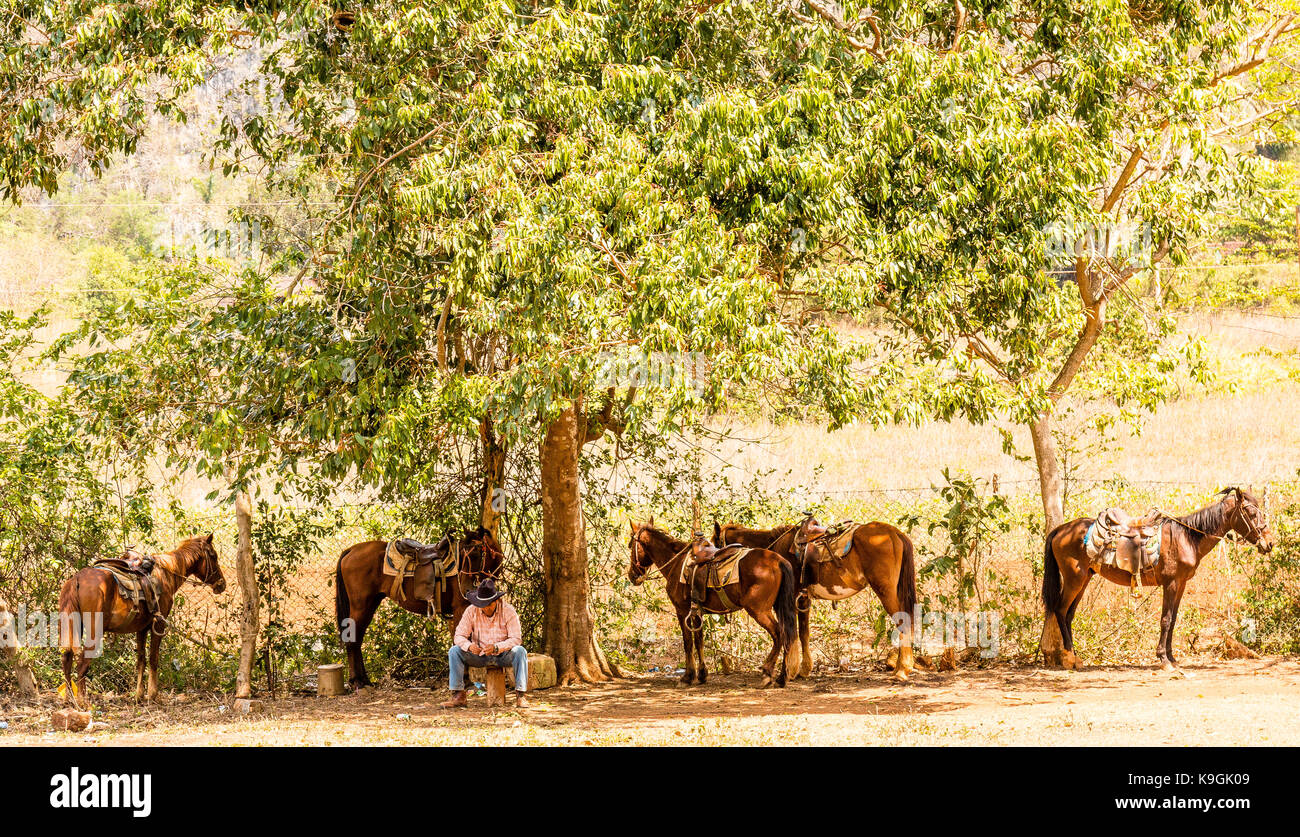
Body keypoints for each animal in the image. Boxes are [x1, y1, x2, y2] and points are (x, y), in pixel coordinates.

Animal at [58, 535, 227, 707]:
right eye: (213, 555)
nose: (222, 584)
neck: (166, 574)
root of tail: (77, 579)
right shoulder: (158, 624)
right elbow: (153, 658)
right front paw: (152, 695)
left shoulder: (141, 629)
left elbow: (141, 660)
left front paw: (139, 696)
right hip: (94, 631)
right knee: (81, 664)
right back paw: (83, 702)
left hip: (73, 627)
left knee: (67, 659)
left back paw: (69, 699)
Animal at [335, 527, 501, 691]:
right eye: (462, 554)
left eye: (477, 553)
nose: (465, 588)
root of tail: (351, 549)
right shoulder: (460, 609)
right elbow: (462, 641)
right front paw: (464, 679)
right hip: (360, 606)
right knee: (353, 639)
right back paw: (357, 681)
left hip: (370, 604)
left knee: (358, 638)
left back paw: (365, 680)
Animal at [624, 519, 795, 691]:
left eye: (631, 545)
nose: (632, 575)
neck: (676, 562)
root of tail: (778, 561)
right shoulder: (696, 612)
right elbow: (699, 640)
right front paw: (702, 674)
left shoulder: (682, 610)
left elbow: (688, 643)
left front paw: (687, 677)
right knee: (788, 635)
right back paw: (782, 678)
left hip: (759, 610)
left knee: (779, 634)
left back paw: (767, 672)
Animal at [717, 517, 920, 681]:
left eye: (715, 543)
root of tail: (894, 533)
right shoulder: (803, 599)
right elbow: (804, 633)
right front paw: (804, 670)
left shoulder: (790, 599)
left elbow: (791, 632)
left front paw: (791, 670)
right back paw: (900, 667)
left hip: (885, 590)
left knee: (903, 622)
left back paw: (902, 671)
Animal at [1040, 491, 1274, 675]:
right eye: (1252, 513)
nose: (1269, 543)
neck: (1187, 538)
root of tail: (1060, 530)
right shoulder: (1170, 583)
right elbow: (1166, 620)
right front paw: (1163, 659)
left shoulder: (1181, 584)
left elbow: (1173, 620)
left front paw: (1172, 658)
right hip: (1074, 579)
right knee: (1060, 610)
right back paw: (1069, 659)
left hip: (1084, 578)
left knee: (1069, 615)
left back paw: (1075, 657)